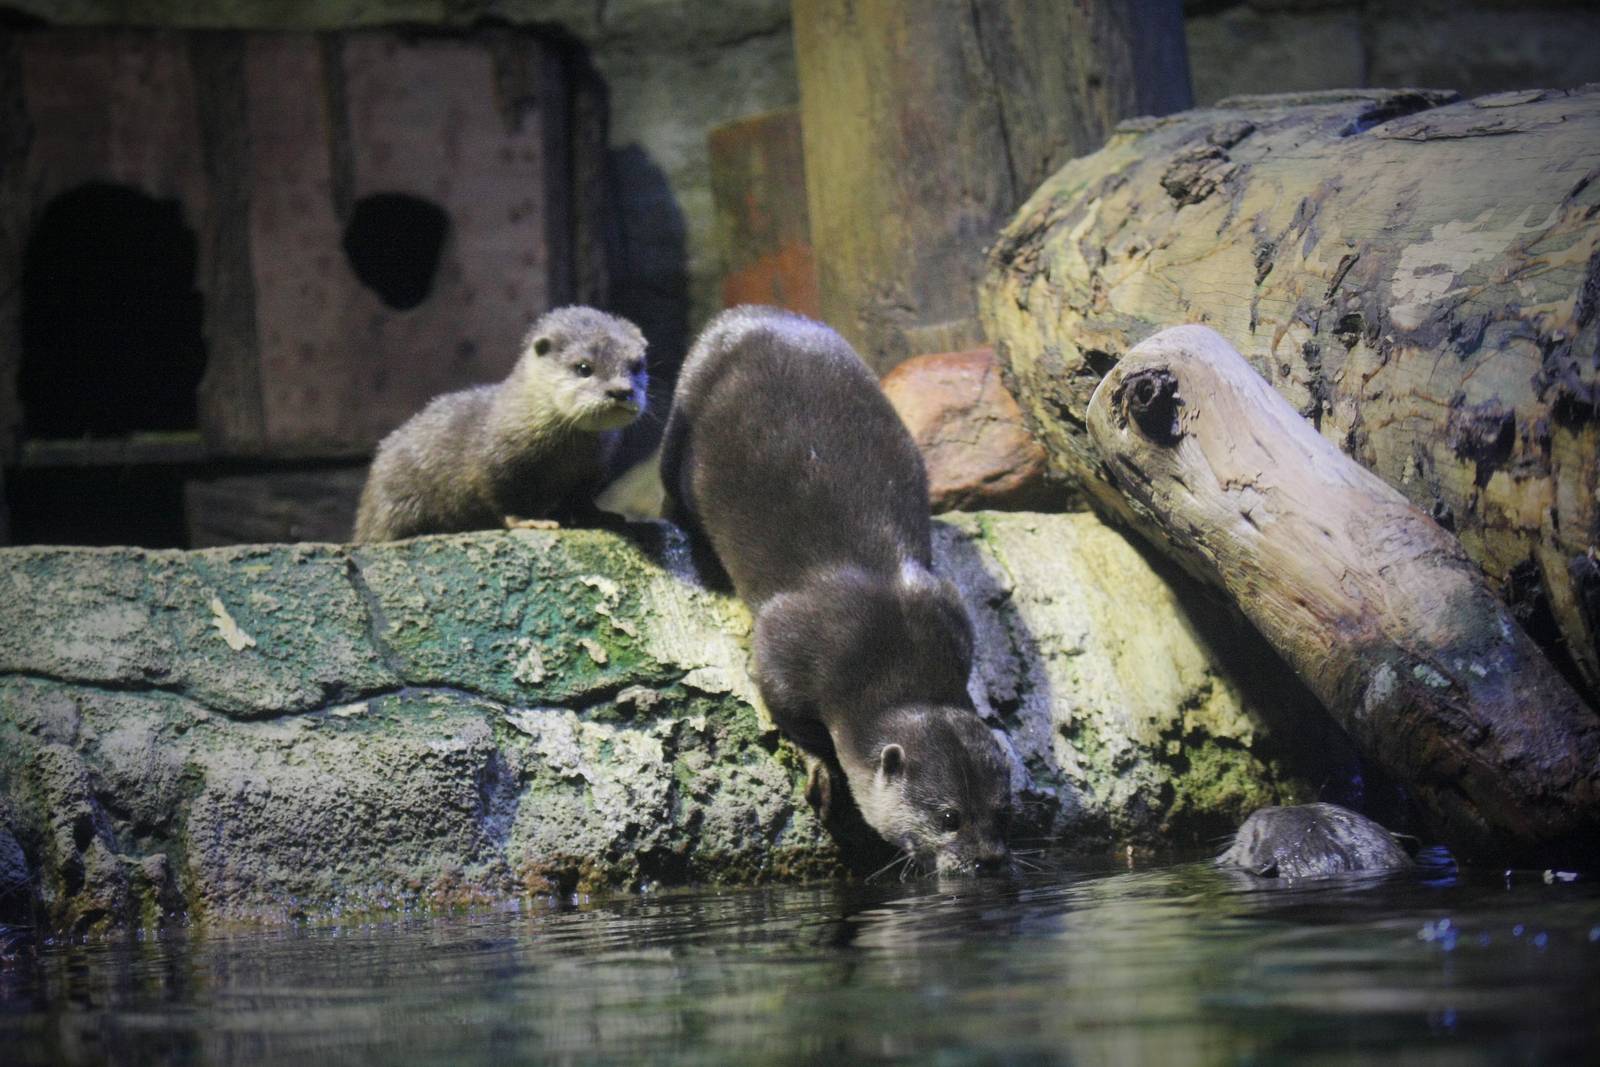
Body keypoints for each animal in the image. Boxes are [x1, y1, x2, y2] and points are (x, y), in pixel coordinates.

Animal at [353, 307, 647, 542]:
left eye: (636, 365)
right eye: (584, 367)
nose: (621, 391)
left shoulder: (593, 469)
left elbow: (582, 499)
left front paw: (601, 516)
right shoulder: (495, 462)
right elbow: (503, 497)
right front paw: (530, 520)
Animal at [661, 305, 1013, 875]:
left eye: (1003, 811)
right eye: (949, 817)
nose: (988, 861)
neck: (893, 652)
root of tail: (749, 314)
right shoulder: (786, 651)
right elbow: (787, 713)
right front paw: (821, 773)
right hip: (682, 417)